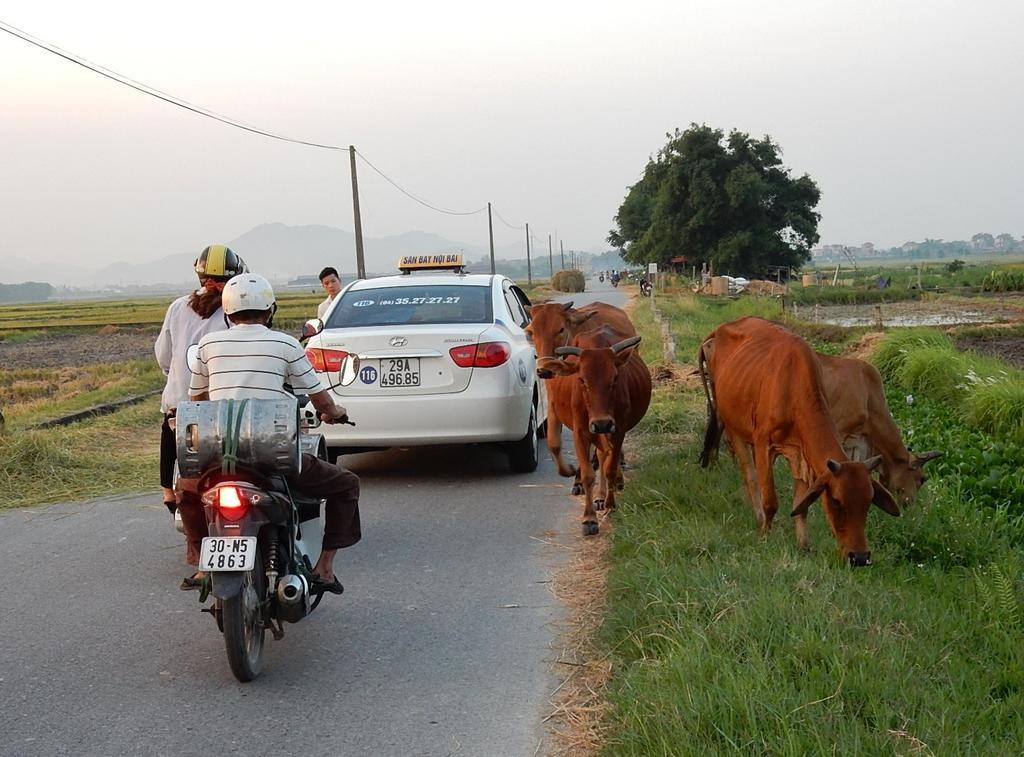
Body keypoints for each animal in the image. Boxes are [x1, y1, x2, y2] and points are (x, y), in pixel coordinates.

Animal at [524, 301, 634, 491]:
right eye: (531, 332)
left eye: (561, 329)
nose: (544, 370)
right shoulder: (554, 403)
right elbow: (554, 443)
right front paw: (572, 473)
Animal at [536, 327, 647, 536]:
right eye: (582, 379)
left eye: (615, 378)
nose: (602, 423)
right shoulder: (581, 433)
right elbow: (588, 475)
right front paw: (589, 519)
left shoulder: (617, 431)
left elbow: (610, 468)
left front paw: (610, 505)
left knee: (604, 459)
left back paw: (604, 495)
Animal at [700, 317, 901, 565]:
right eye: (836, 501)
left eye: (868, 502)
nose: (860, 557)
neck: (793, 388)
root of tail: (721, 328)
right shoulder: (763, 444)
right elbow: (771, 501)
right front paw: (765, 535)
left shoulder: (802, 454)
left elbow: (801, 505)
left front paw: (804, 545)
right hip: (731, 422)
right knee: (749, 474)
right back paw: (757, 515)